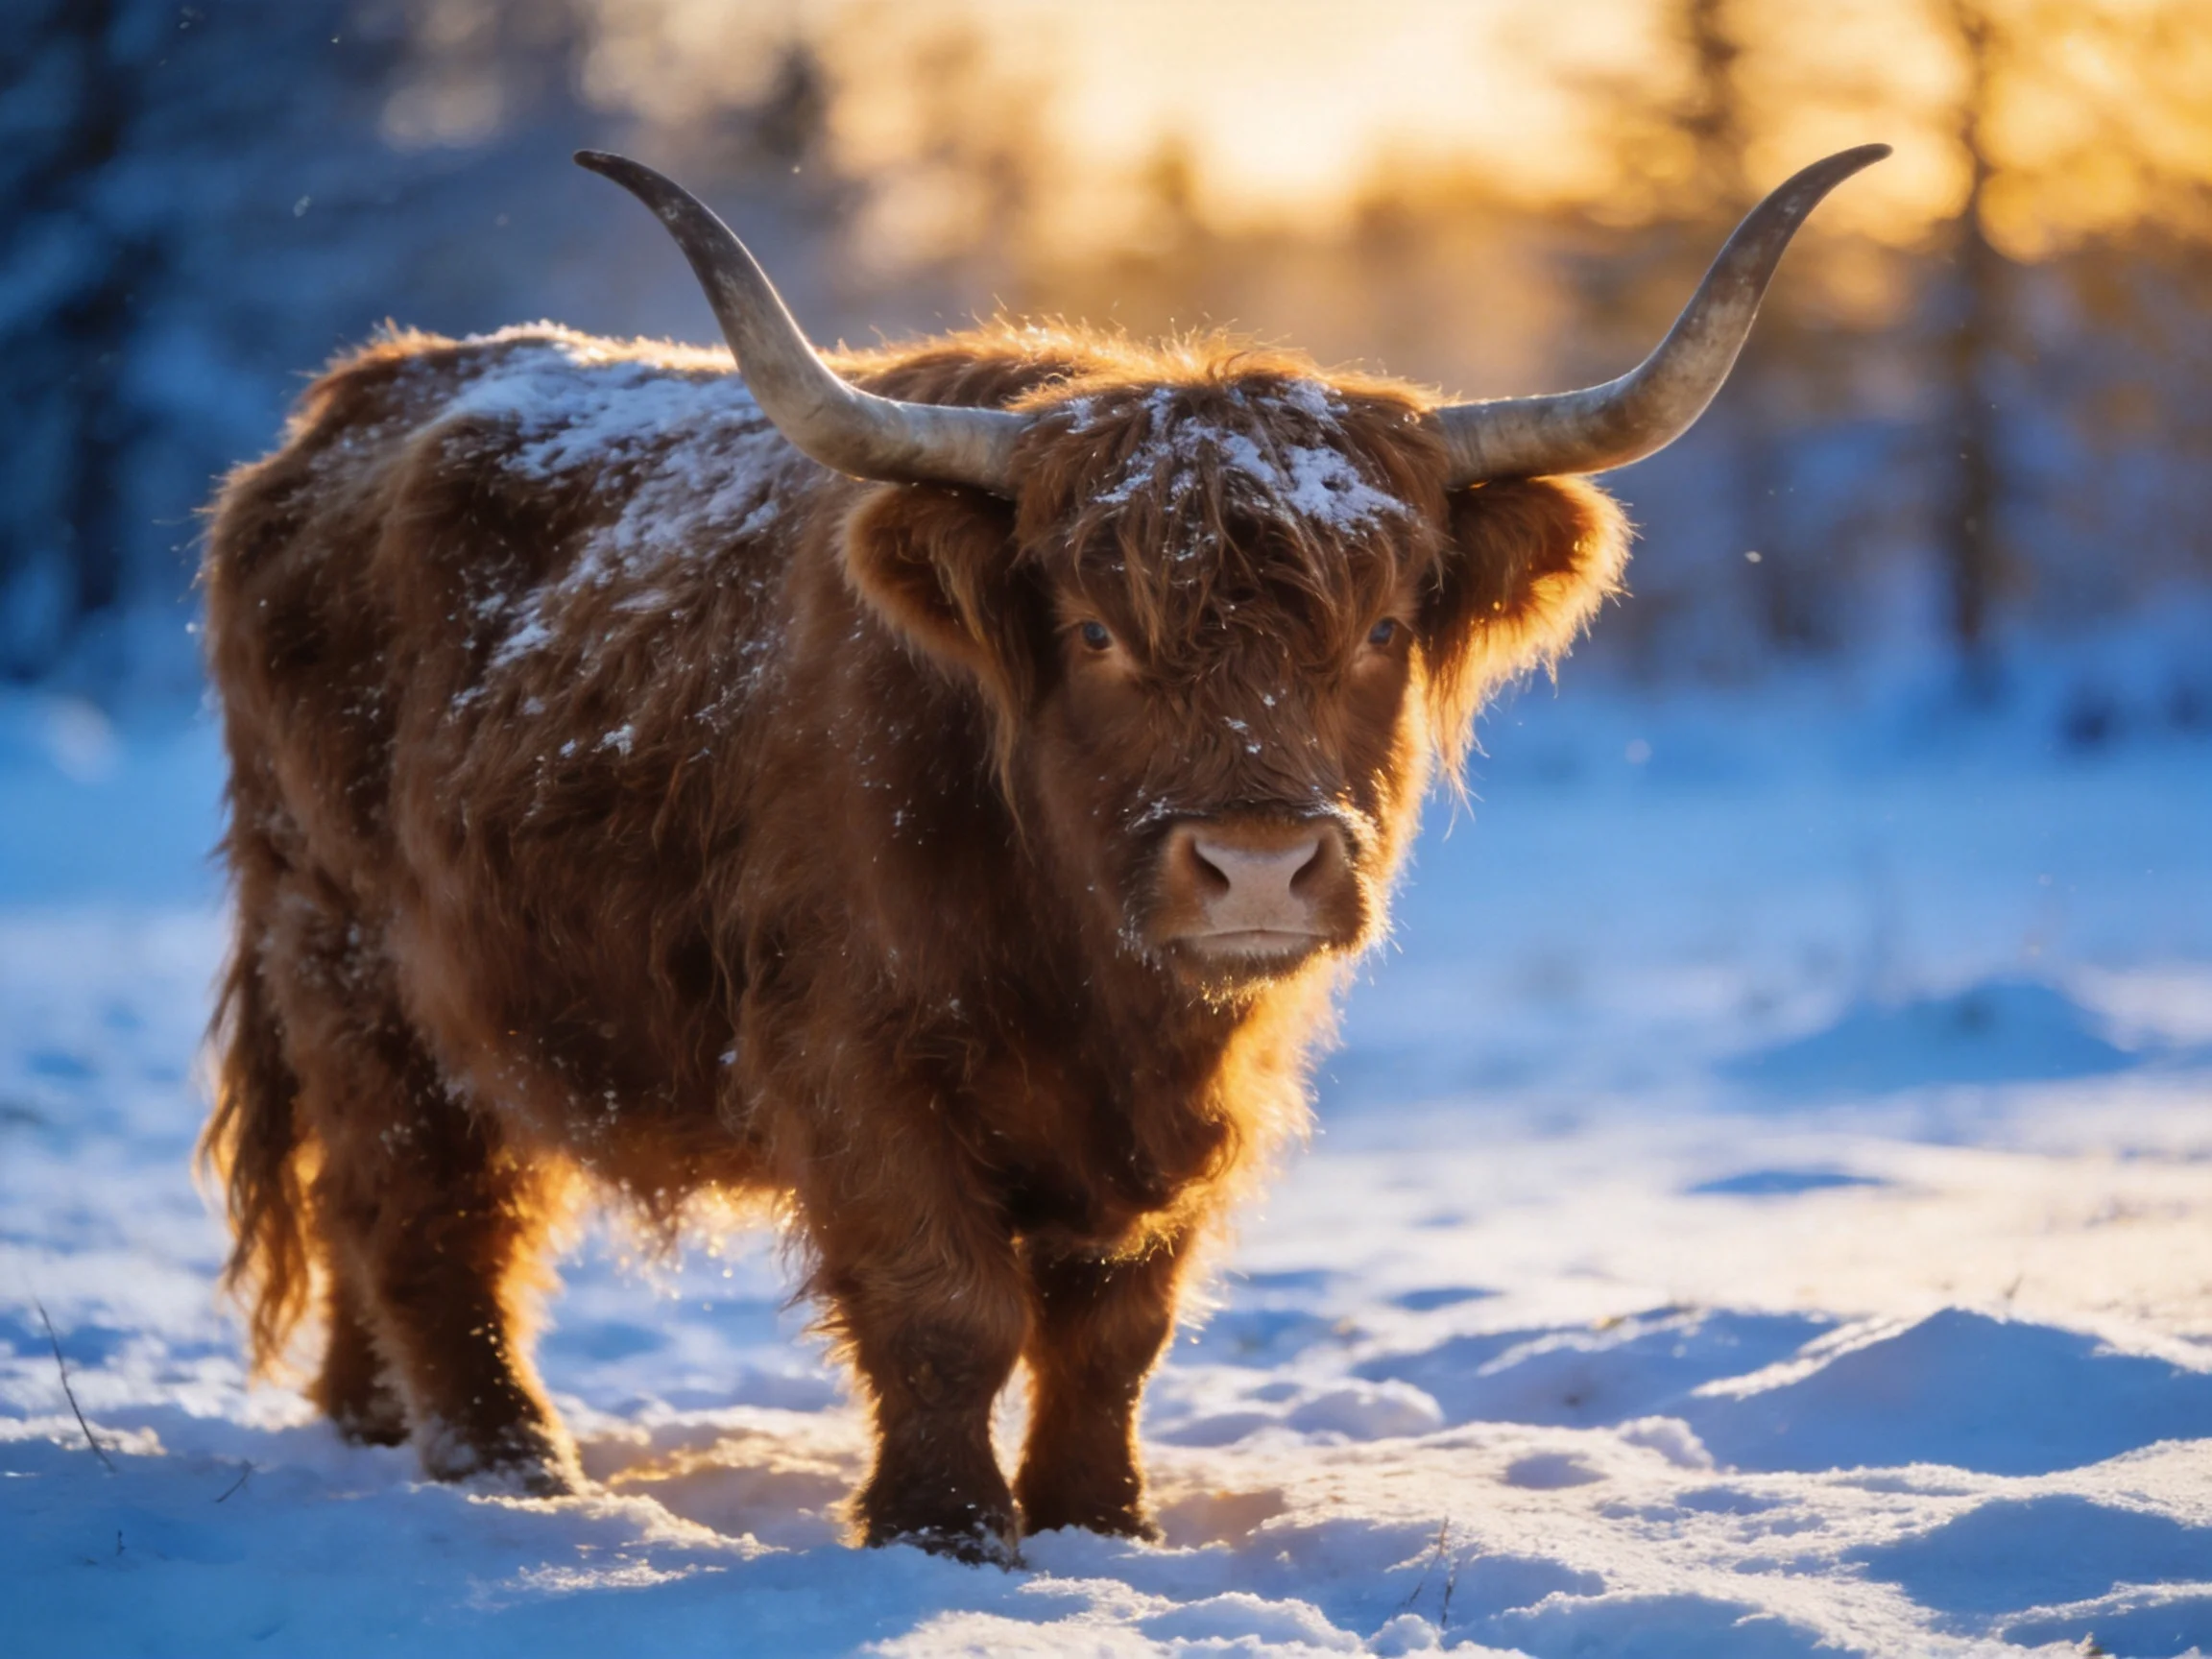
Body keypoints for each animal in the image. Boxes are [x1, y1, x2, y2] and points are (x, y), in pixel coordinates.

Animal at [198, 144, 1884, 1561]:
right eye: (1092, 632)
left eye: (1382, 630)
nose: (1257, 864)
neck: (1095, 981)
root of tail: (352, 405)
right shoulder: (852, 1056)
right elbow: (947, 1305)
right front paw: (945, 1531)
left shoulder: (1206, 1089)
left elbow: (1116, 1326)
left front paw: (1099, 1523)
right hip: (355, 952)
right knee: (420, 1202)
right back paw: (507, 1462)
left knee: (368, 1206)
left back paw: (368, 1424)